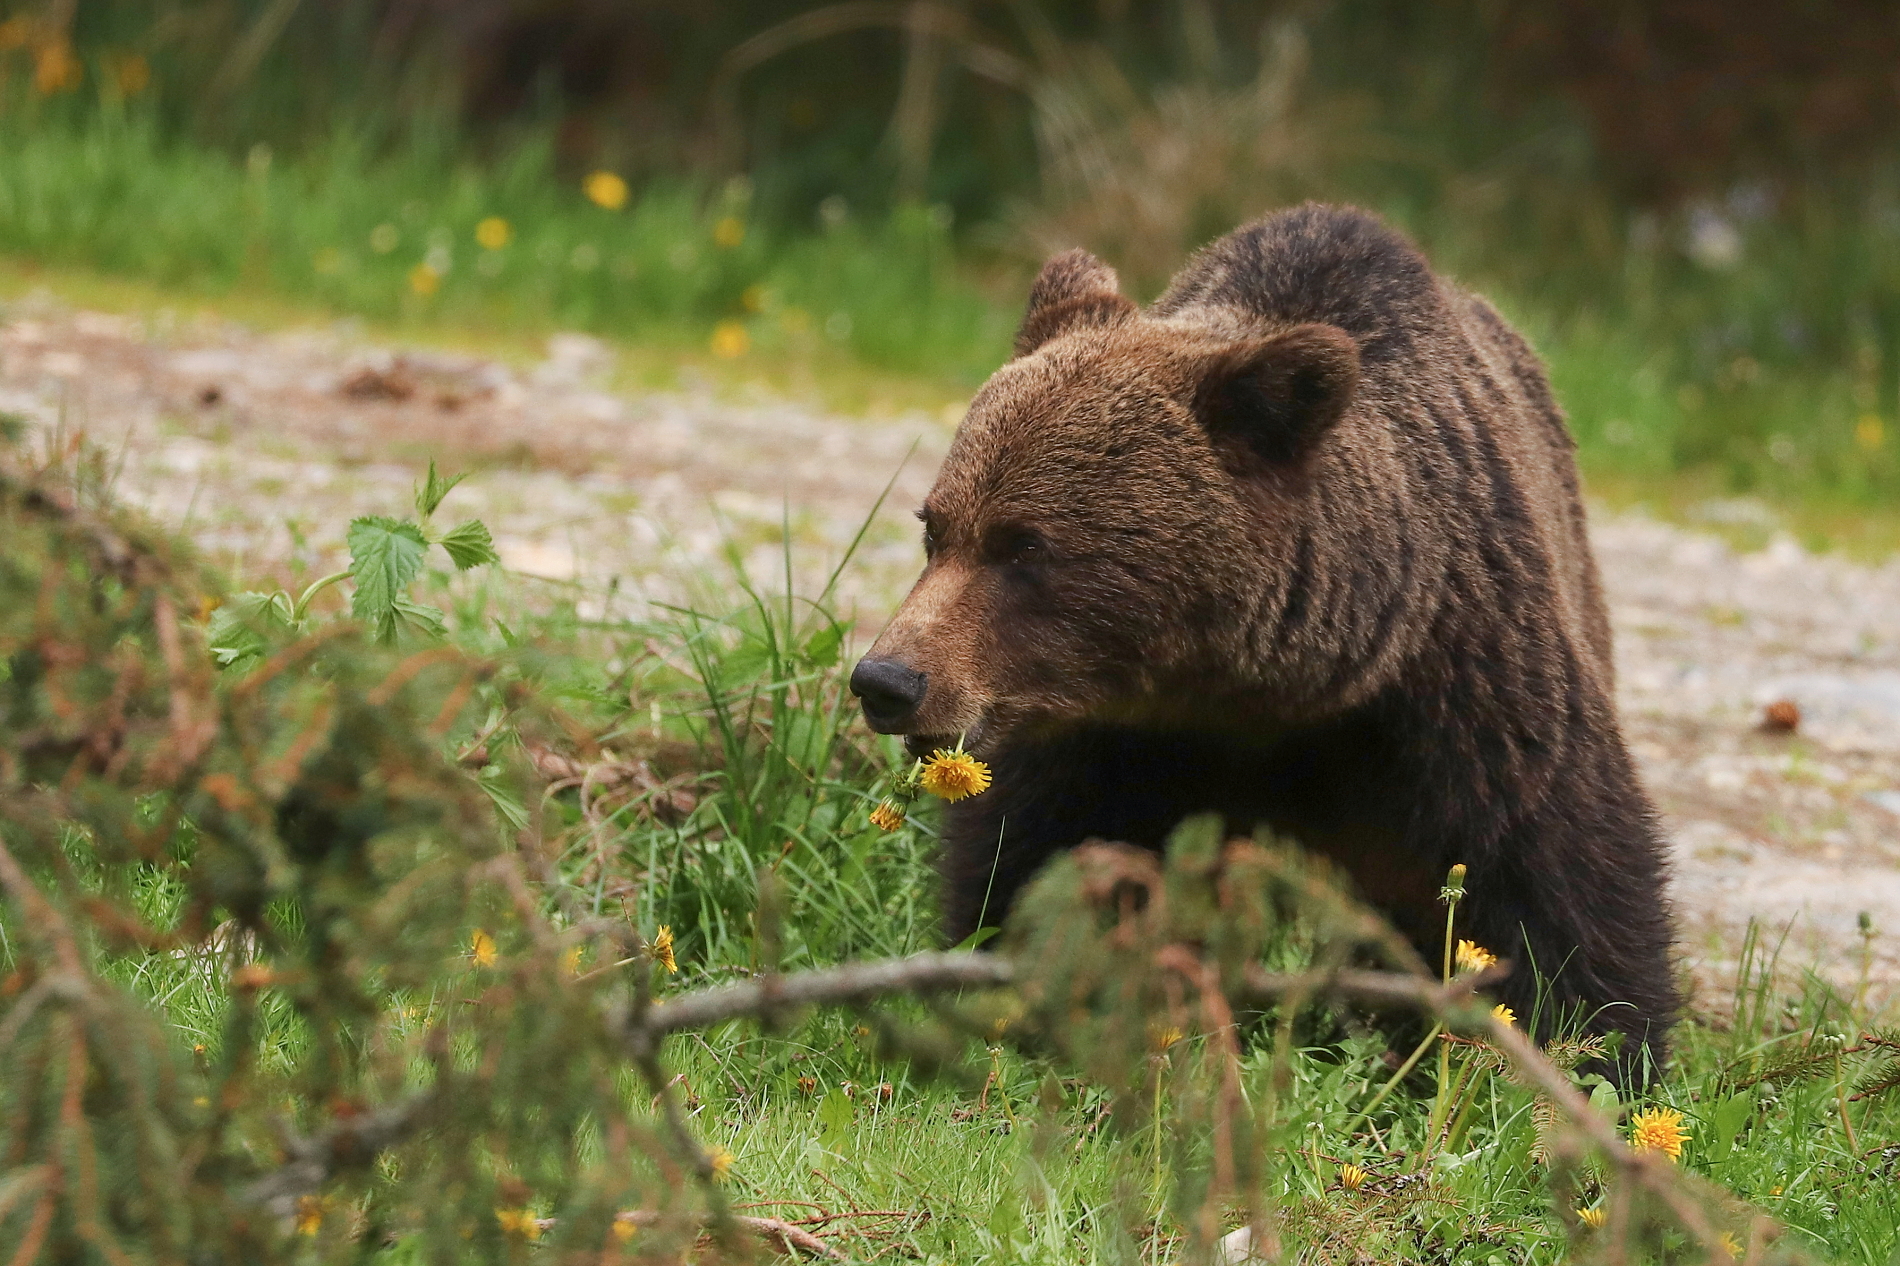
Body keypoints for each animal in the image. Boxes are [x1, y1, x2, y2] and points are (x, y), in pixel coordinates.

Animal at [855, 199, 1672, 1064]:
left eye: (1024, 547)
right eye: (937, 528)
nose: (888, 680)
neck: (1261, 688)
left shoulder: (1460, 685)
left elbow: (1551, 878)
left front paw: (1586, 1047)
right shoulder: (1100, 735)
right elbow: (1037, 860)